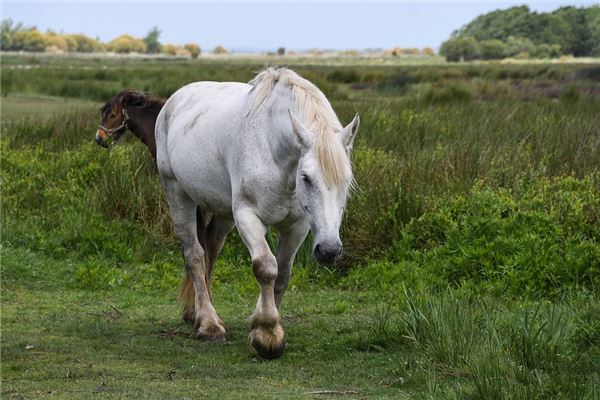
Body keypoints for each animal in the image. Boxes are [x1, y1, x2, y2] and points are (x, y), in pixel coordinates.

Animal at [157, 67, 358, 358]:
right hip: (177, 193)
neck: (272, 149)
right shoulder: (247, 216)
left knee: (211, 250)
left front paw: (263, 325)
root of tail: (174, 100)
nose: (329, 250)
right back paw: (208, 324)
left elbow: (282, 274)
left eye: (347, 180)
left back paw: (198, 312)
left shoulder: (297, 226)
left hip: (223, 212)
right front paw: (267, 335)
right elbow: (265, 267)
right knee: (194, 255)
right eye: (306, 178)